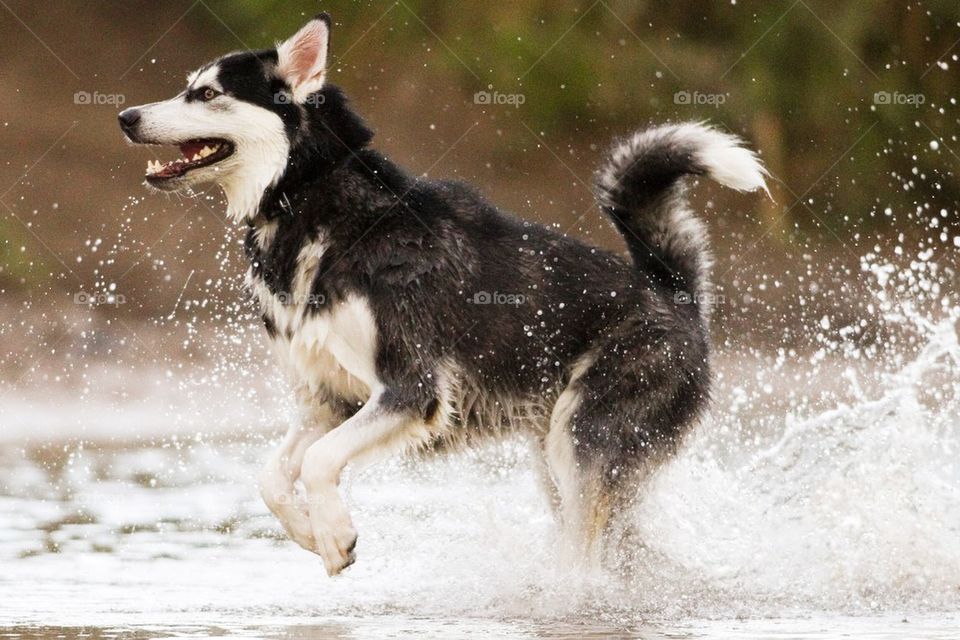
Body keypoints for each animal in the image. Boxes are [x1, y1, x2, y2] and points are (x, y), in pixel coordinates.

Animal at [118, 13, 764, 576]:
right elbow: (271, 479)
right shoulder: (332, 399)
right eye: (187, 88)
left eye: (205, 94)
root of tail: (675, 292)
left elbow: (321, 461)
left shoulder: (410, 389)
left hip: (583, 446)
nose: (124, 115)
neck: (313, 203)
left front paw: (334, 533)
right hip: (563, 462)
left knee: (587, 549)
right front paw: (310, 533)